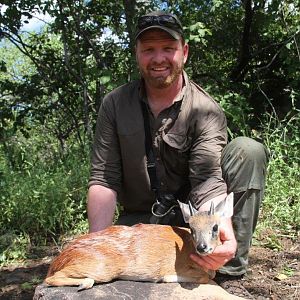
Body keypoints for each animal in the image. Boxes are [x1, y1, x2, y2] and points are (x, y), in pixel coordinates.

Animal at [44, 193, 234, 292]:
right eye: (192, 229)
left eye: (215, 227)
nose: (202, 247)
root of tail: (58, 259)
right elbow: (205, 277)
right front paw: (166, 278)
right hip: (100, 267)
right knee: (50, 279)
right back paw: (84, 283)